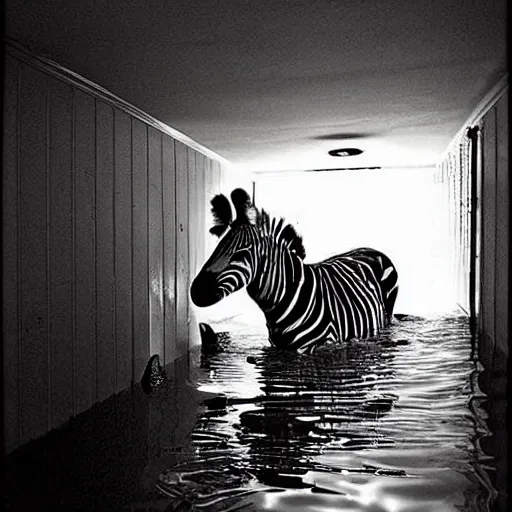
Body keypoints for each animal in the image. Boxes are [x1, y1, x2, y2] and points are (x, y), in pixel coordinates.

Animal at [190, 188, 398, 352]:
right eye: (217, 247)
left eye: (241, 252)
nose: (196, 291)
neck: (280, 302)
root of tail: (369, 249)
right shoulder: (278, 346)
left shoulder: (321, 346)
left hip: (386, 317)